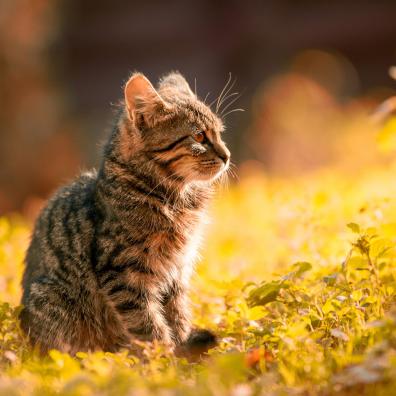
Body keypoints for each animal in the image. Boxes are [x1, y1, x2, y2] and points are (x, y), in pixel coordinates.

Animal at [20, 72, 230, 356]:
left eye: (219, 133)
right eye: (198, 137)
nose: (227, 156)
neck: (176, 198)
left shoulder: (176, 271)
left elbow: (177, 316)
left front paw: (183, 348)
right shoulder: (123, 274)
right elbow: (149, 325)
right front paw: (164, 359)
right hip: (49, 299)